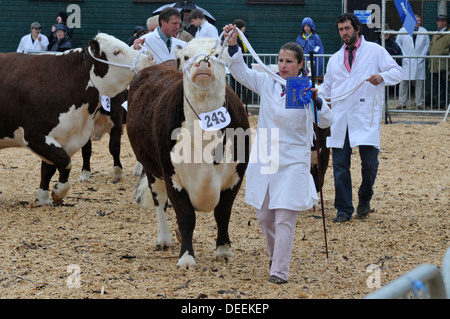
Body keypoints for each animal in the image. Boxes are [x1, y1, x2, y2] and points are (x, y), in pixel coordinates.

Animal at [127, 37, 250, 268]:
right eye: (186, 56)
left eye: (216, 54)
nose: (202, 63)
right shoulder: (172, 176)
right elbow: (186, 217)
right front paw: (186, 258)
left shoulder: (235, 176)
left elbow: (223, 213)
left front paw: (224, 251)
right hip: (151, 168)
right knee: (160, 202)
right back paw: (164, 239)